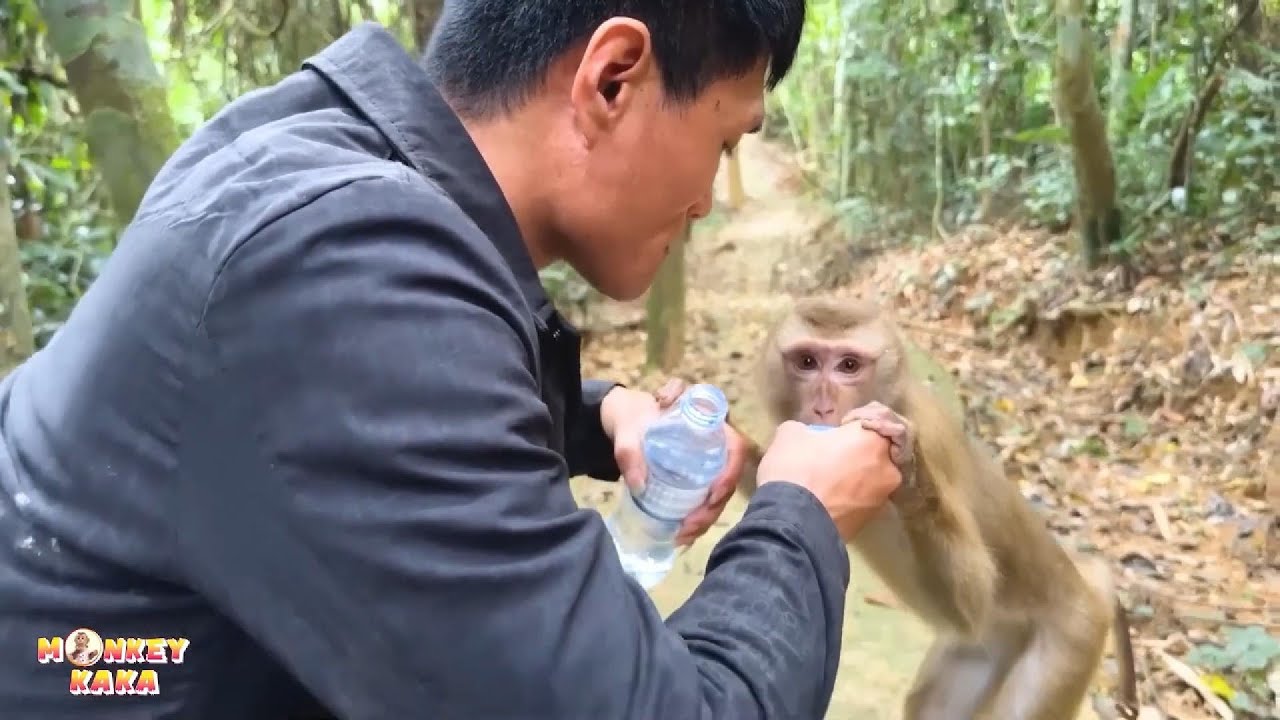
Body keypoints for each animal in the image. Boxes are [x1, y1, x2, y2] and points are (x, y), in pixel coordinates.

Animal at [734, 296, 1138, 720]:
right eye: (807, 361)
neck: (894, 399)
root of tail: (1084, 579)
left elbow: (976, 597)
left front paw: (908, 468)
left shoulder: (930, 436)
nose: (822, 407)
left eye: (849, 365)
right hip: (987, 648)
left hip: (1071, 641)